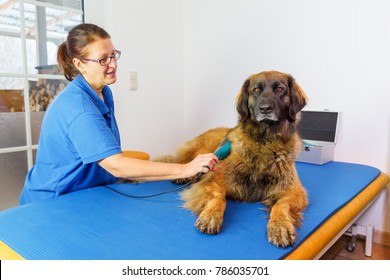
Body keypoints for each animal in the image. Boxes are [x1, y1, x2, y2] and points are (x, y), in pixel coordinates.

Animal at [158, 70, 308, 247]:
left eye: (280, 89)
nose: (265, 109)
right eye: (256, 89)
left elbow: (281, 204)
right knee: (184, 163)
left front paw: (280, 225)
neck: (264, 142)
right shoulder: (213, 179)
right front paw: (211, 216)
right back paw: (185, 176)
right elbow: (218, 196)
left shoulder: (294, 191)